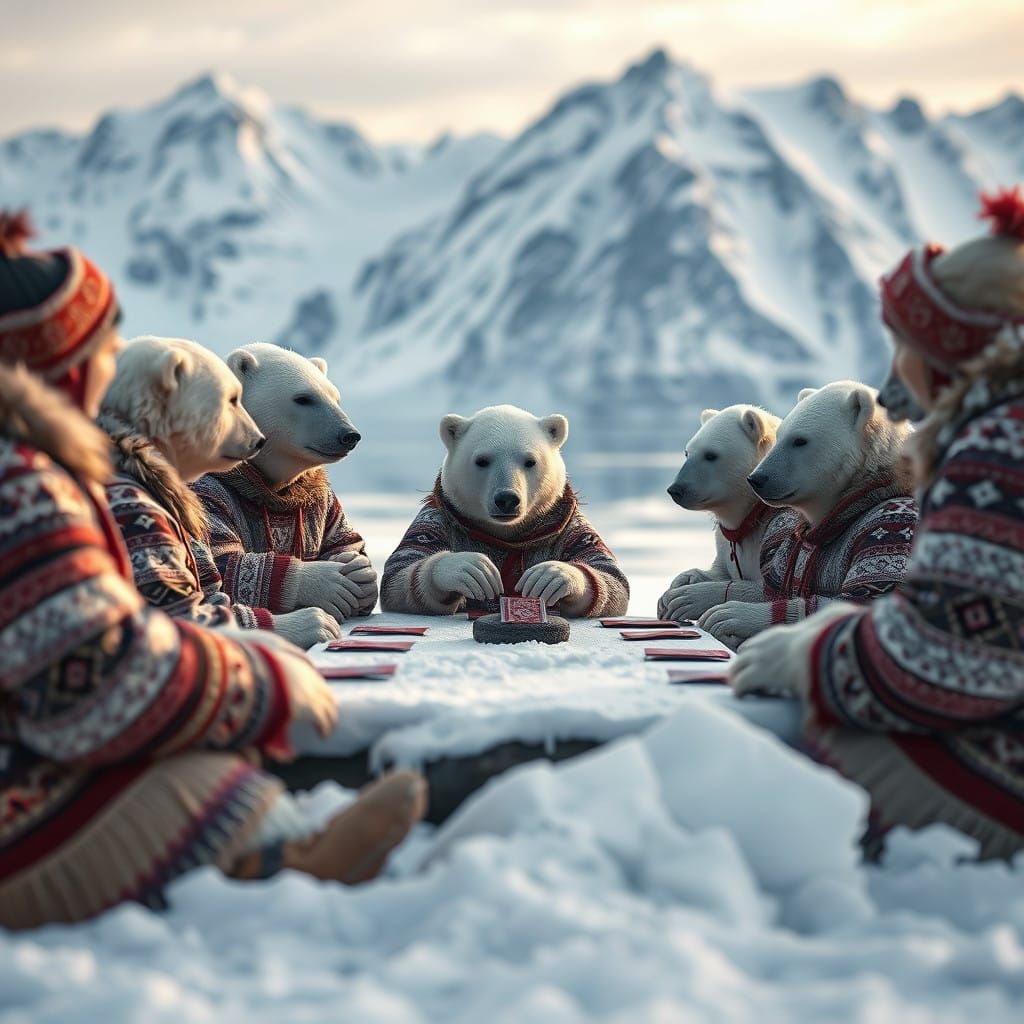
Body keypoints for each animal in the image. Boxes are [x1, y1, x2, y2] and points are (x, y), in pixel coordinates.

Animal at [193, 342, 378, 628]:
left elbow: (343, 537)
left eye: (335, 397)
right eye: (303, 398)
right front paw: (325, 583)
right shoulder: (207, 491)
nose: (349, 435)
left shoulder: (322, 496)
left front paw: (360, 568)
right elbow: (225, 559)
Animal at [380, 404, 629, 617]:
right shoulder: (434, 518)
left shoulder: (569, 524)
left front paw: (551, 576)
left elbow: (609, 573)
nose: (507, 499)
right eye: (482, 460)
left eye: (530, 461)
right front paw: (471, 570)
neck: (507, 534)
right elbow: (399, 572)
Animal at [656, 404, 784, 623]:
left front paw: (688, 599)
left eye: (710, 455)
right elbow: (721, 569)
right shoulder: (725, 541)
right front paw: (683, 580)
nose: (676, 489)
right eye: (687, 453)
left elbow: (770, 588)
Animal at [699, 381, 919, 649]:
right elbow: (773, 586)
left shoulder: (888, 530)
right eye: (780, 436)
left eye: (800, 440)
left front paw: (732, 614)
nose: (757, 478)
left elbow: (862, 599)